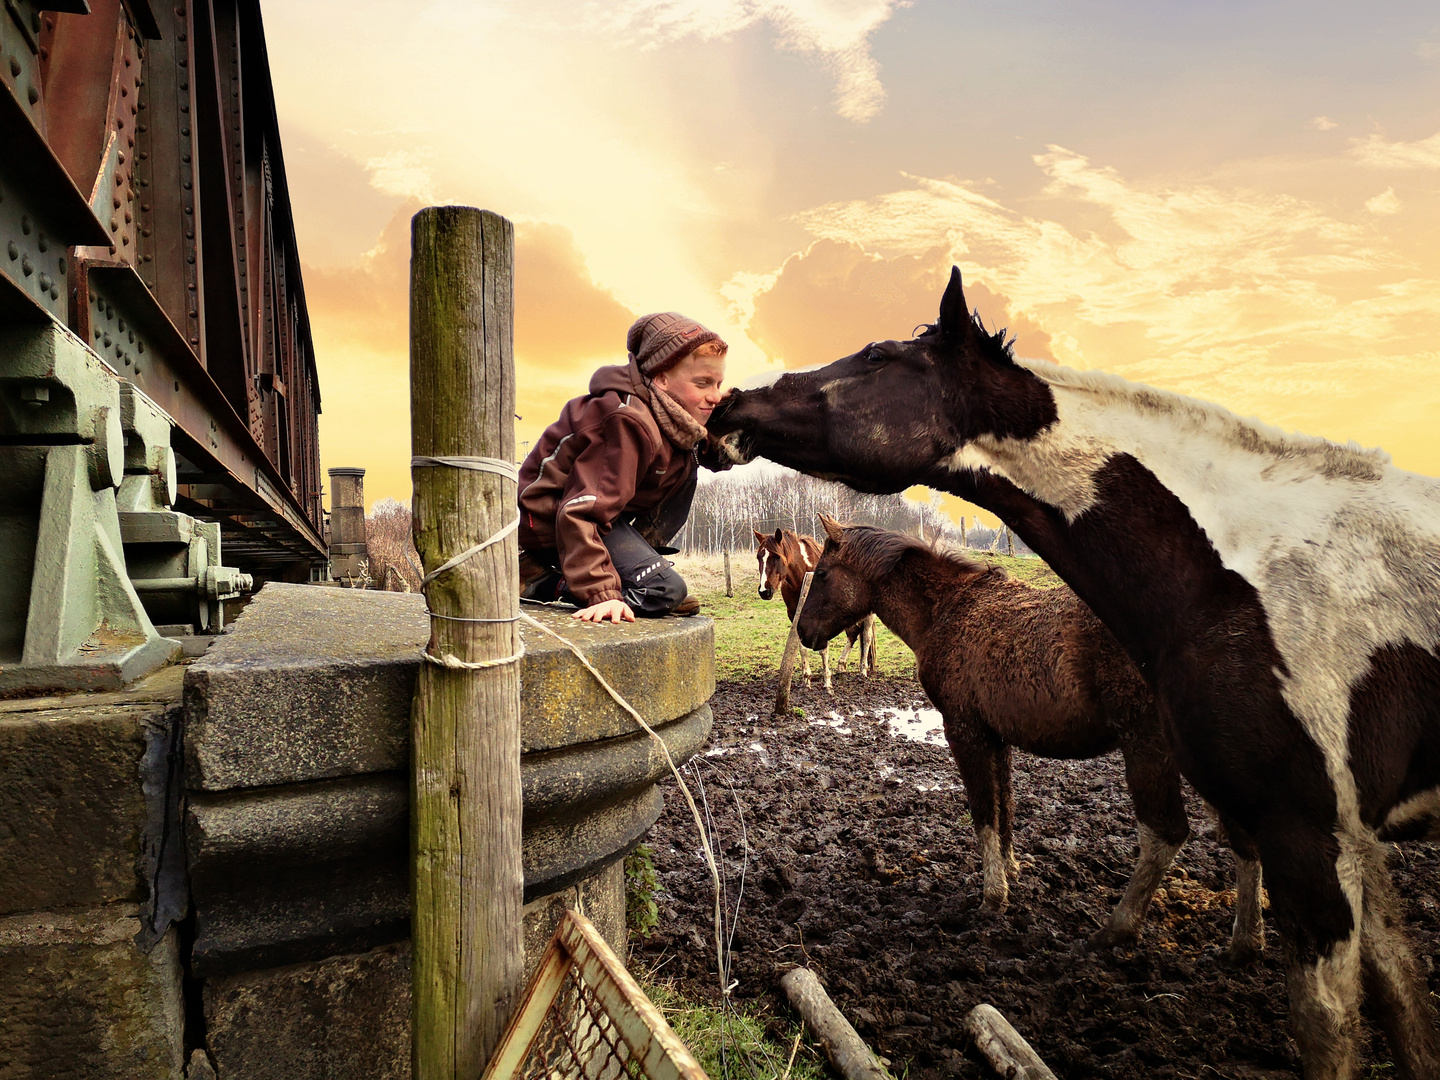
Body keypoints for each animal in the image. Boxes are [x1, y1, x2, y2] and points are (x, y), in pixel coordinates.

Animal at [754, 527, 875, 694]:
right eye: (759, 557)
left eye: (777, 557)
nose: (764, 591)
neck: (804, 576)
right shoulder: (795, 615)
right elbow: (802, 648)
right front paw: (807, 679)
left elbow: (823, 649)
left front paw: (827, 683)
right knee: (853, 633)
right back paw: (841, 665)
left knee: (867, 636)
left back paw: (863, 670)